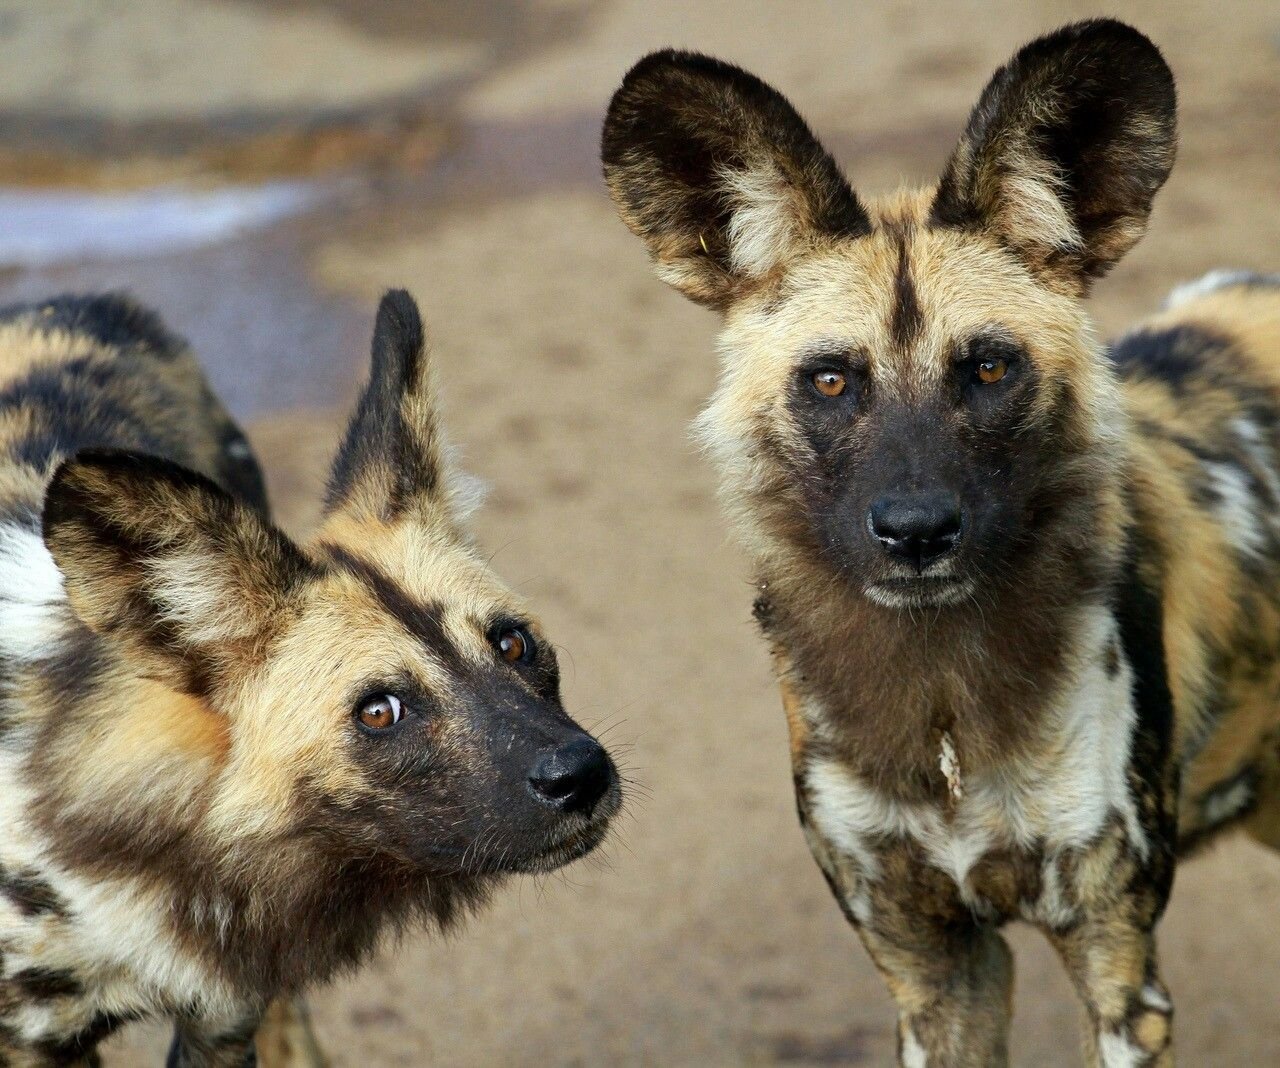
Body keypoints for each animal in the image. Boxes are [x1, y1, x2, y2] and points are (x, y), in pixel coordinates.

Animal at [601, 16, 1280, 1065]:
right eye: (831, 380)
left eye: (990, 369)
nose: (915, 532)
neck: (945, 703)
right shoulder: (934, 970)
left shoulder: (1119, 969)